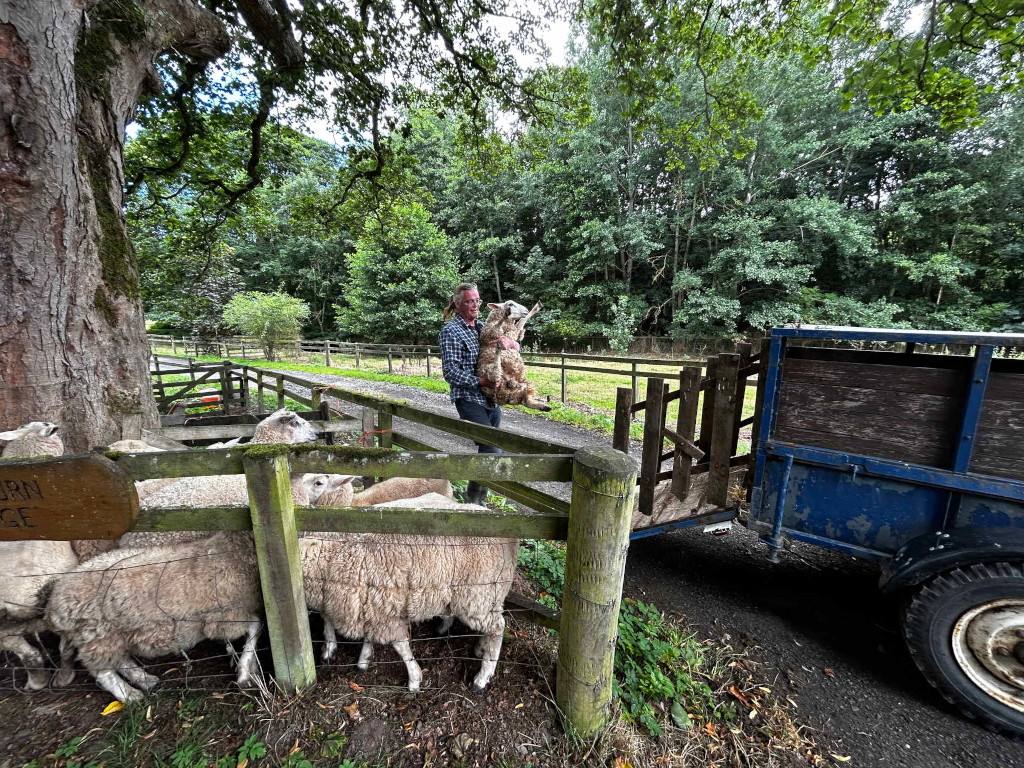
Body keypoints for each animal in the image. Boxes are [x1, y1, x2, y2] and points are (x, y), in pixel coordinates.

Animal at [46, 532, 262, 703]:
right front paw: (244, 674)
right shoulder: (223, 620)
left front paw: (247, 666)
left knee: (120, 660)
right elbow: (256, 625)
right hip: (97, 637)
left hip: (112, 637)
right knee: (103, 672)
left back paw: (144, 680)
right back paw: (129, 695)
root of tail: (54, 605)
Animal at [300, 482, 517, 692]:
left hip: (477, 595)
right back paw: (471, 643)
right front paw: (363, 659)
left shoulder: (383, 614)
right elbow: (369, 635)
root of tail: (510, 539)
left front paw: (414, 679)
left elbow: (401, 646)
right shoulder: (373, 607)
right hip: (478, 595)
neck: (330, 557)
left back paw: (481, 678)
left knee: (497, 627)